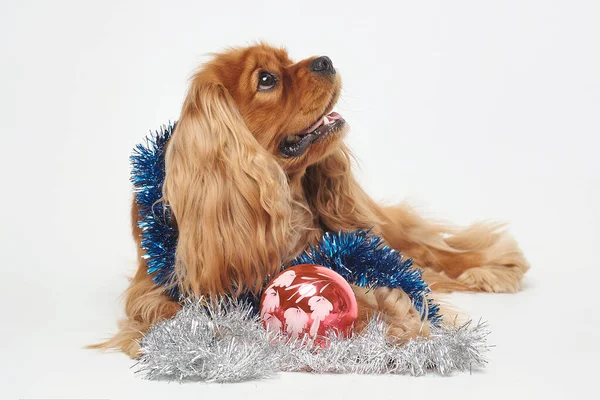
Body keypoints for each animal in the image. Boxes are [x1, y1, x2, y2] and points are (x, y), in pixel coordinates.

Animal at [92, 43, 524, 356]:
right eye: (266, 79)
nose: (325, 60)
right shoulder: (151, 289)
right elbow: (162, 311)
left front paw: (394, 319)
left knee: (427, 248)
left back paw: (490, 267)